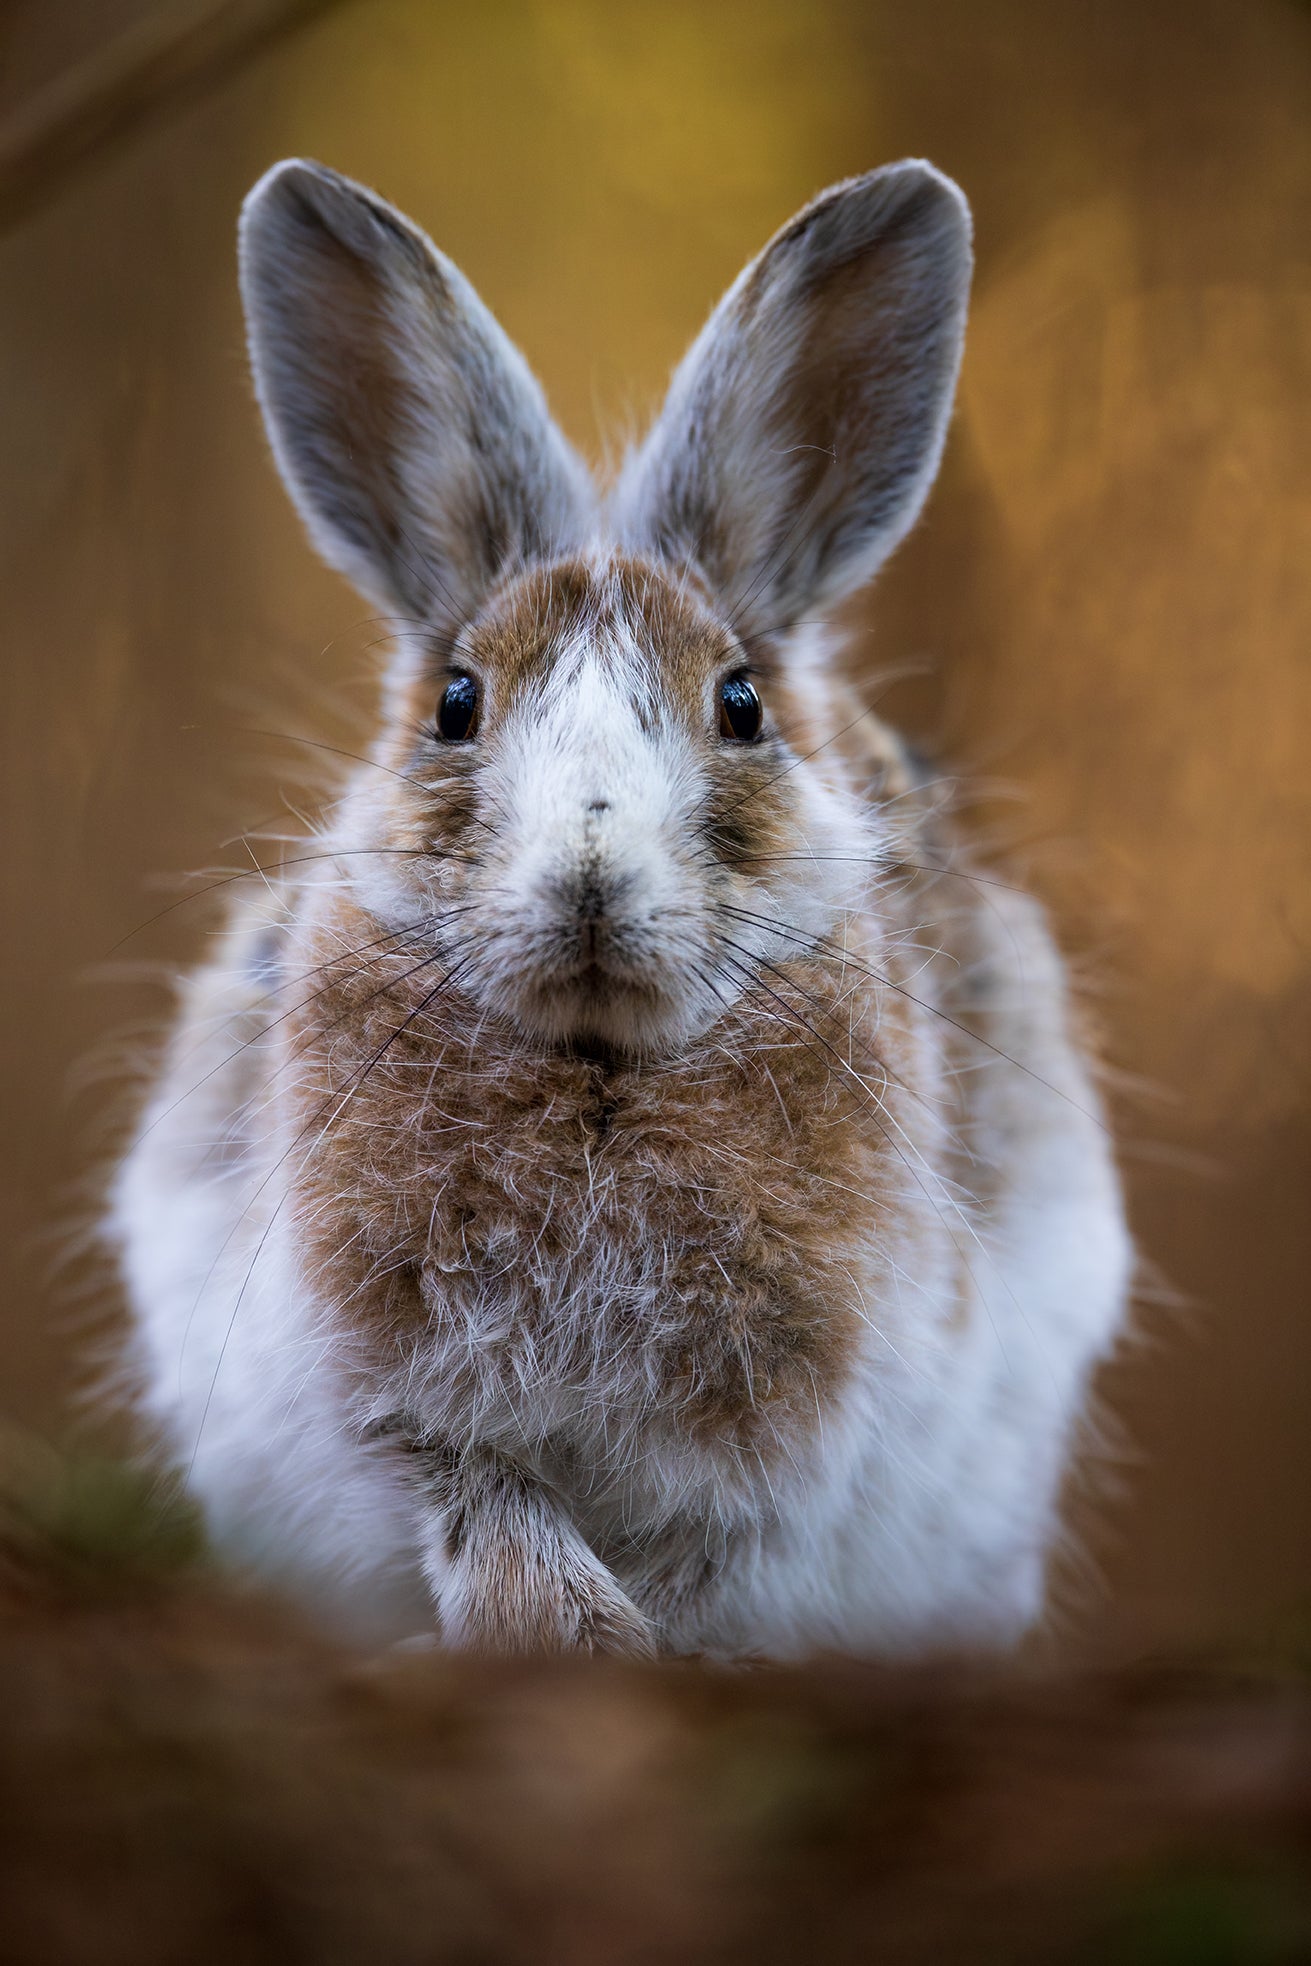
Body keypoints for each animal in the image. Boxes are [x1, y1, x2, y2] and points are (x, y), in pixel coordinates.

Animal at [110, 157, 1133, 1660]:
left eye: (741, 705)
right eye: (455, 704)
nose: (590, 874)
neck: (598, 1062)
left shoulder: (792, 1454)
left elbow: (714, 1560)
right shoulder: (388, 1408)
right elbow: (490, 1514)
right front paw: (565, 1636)